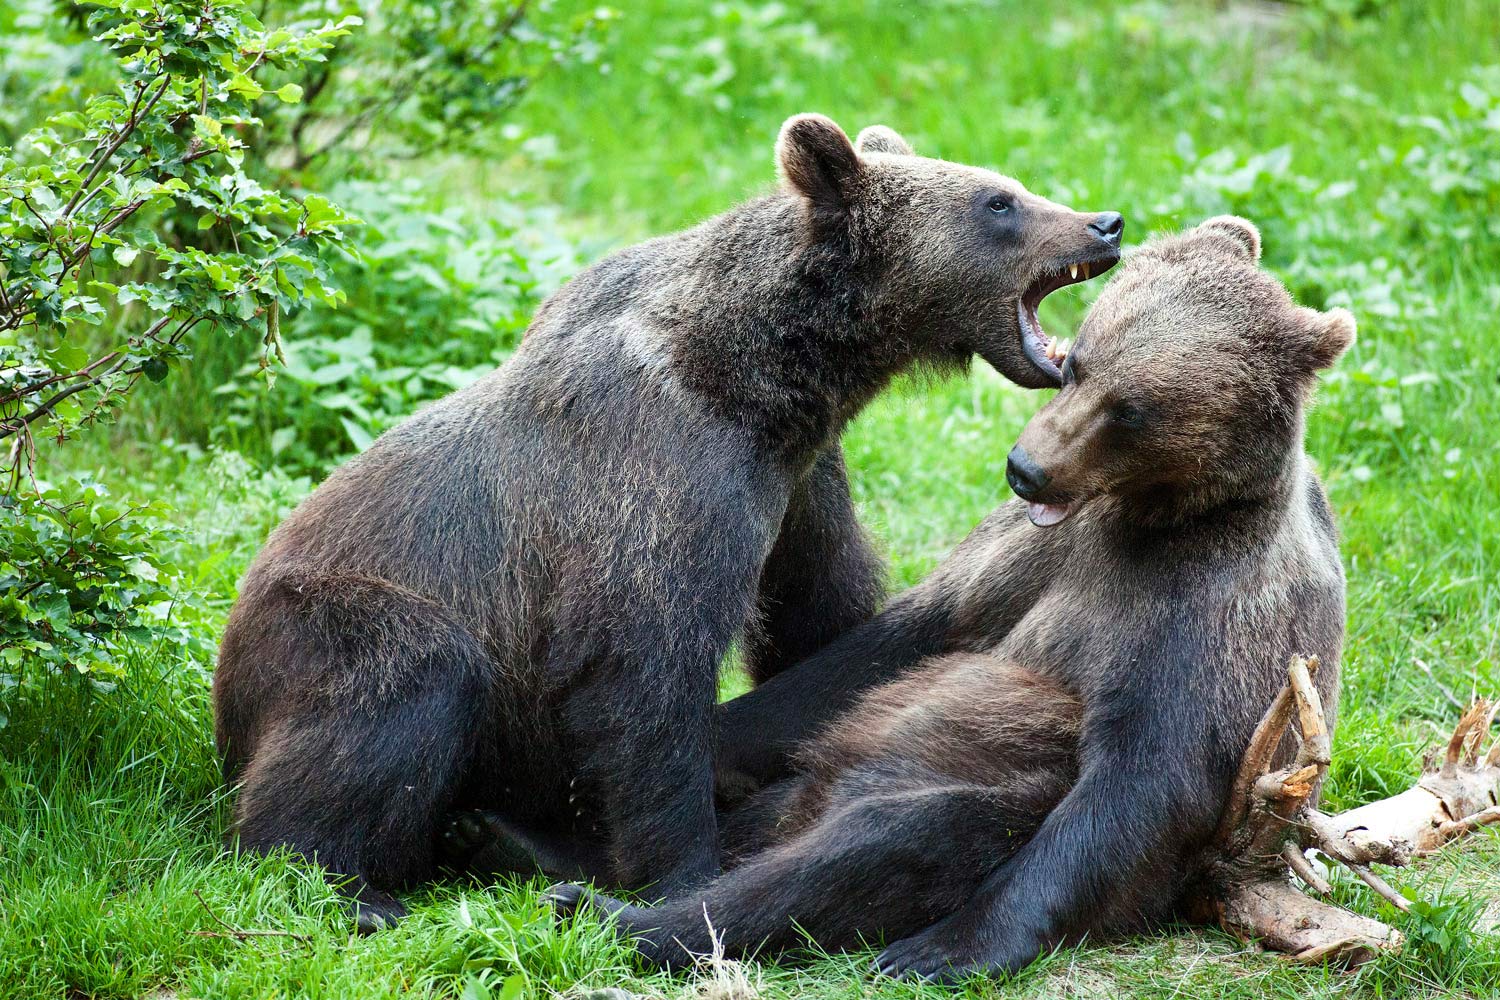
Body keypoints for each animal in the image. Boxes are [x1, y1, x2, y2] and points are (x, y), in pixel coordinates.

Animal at [214, 111, 1128, 929]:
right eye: (999, 201)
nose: (1106, 222)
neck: (766, 377)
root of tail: (226, 692)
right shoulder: (663, 480)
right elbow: (642, 669)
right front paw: (684, 868)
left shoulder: (801, 481)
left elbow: (818, 606)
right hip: (332, 622)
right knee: (395, 692)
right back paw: (347, 884)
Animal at [552, 215, 1362, 983]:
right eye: (1078, 361)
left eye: (1130, 409)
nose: (1026, 468)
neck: (1155, 518)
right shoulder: (1029, 558)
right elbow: (890, 645)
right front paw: (701, 738)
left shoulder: (1212, 612)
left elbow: (1145, 783)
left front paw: (944, 948)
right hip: (798, 790)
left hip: (969, 786)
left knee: (898, 841)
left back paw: (619, 912)